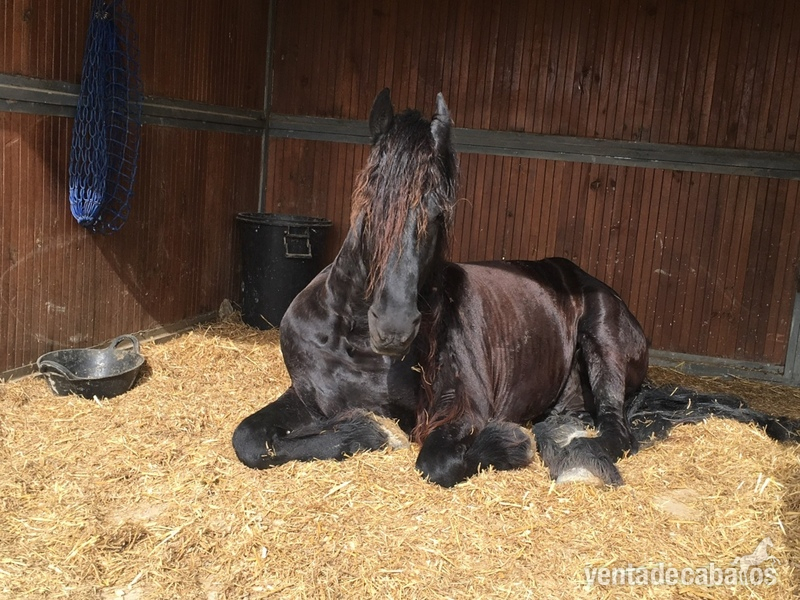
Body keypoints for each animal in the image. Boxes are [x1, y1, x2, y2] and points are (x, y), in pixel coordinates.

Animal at [232, 89, 800, 487]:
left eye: (438, 212)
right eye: (370, 204)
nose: (393, 327)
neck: (354, 340)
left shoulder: (462, 411)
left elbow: (436, 461)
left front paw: (505, 444)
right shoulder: (307, 397)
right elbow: (250, 440)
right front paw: (364, 431)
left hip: (604, 340)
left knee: (617, 431)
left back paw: (574, 454)